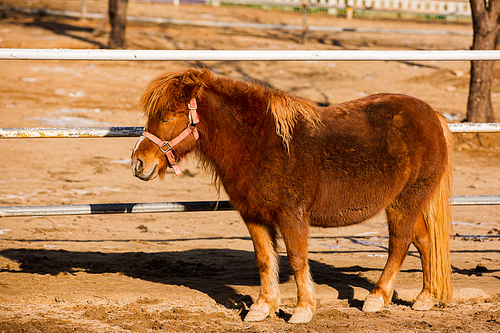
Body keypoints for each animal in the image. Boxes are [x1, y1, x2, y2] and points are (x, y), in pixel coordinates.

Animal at [130, 67, 454, 322]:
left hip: (405, 201)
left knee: (399, 244)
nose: (139, 163)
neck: (258, 142)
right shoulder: (254, 215)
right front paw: (263, 307)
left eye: (168, 117)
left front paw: (302, 309)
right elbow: (264, 259)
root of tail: (433, 116)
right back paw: (425, 298)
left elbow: (297, 259)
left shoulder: (292, 215)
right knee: (424, 241)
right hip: (409, 202)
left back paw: (376, 297)